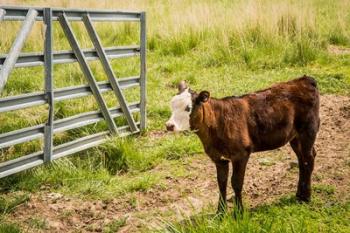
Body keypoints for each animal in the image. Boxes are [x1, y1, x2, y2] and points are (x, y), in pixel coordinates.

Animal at [167, 76, 320, 213]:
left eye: (188, 108)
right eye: (172, 104)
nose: (169, 125)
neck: (217, 123)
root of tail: (304, 79)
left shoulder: (241, 154)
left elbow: (236, 182)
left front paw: (239, 213)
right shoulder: (219, 158)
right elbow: (221, 183)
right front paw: (220, 213)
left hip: (308, 130)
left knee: (309, 159)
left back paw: (306, 197)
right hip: (294, 137)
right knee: (301, 160)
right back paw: (299, 195)